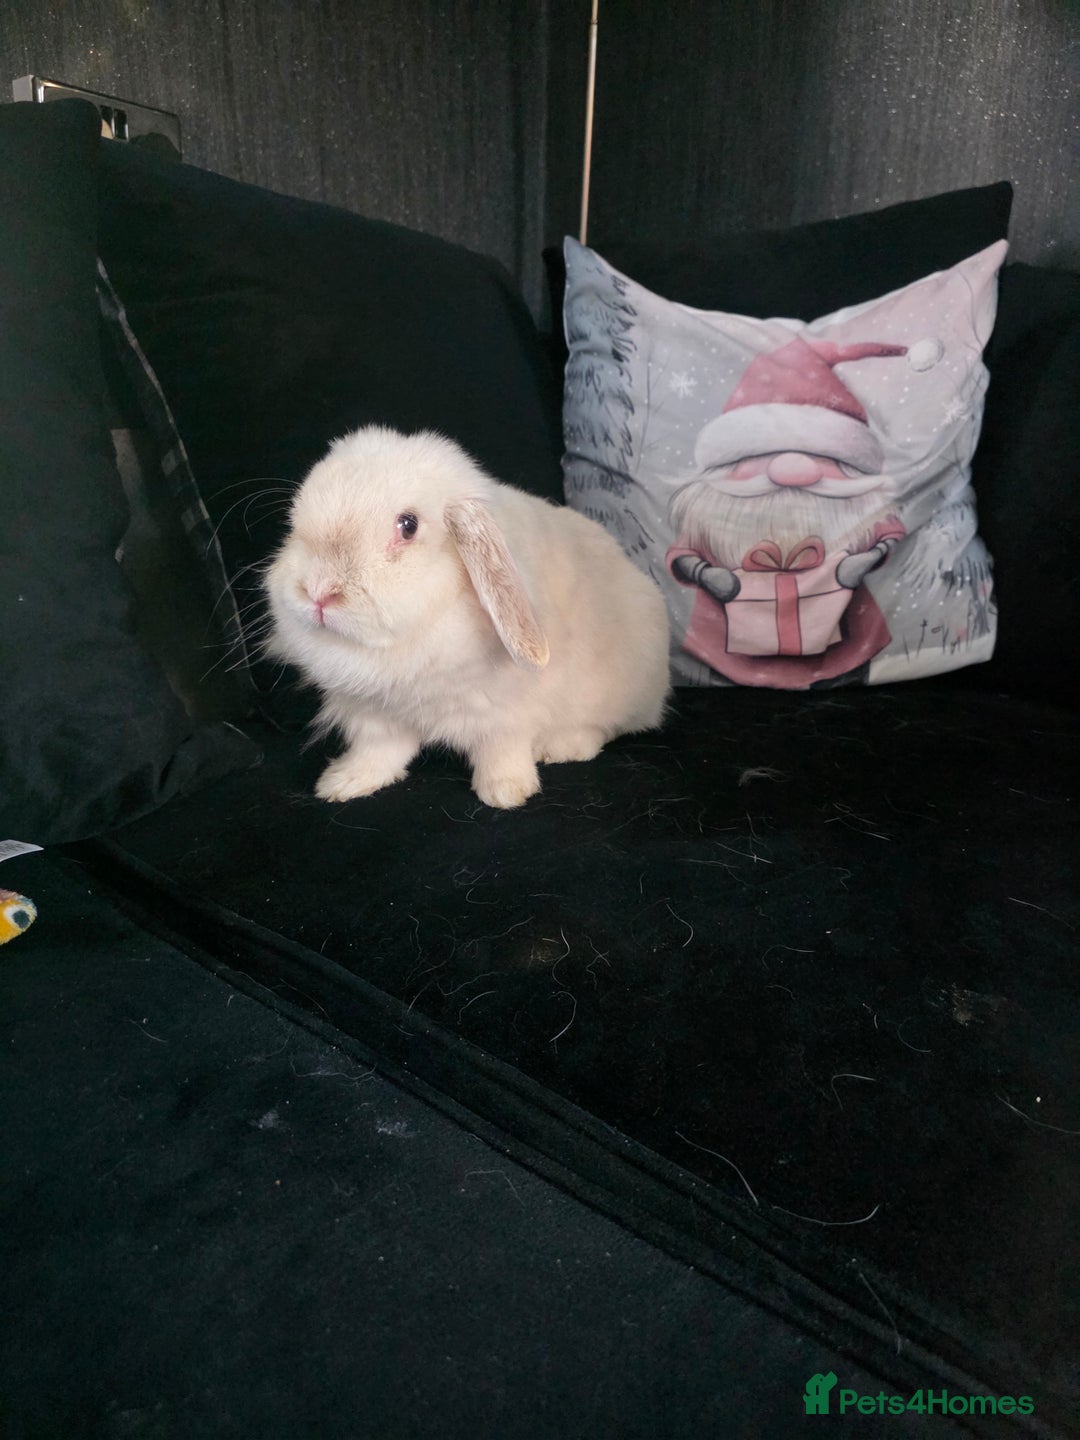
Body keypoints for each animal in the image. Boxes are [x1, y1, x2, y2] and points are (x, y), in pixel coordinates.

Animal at [263, 425, 671, 809]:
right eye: (295, 524)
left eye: (408, 525)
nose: (318, 592)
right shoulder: (375, 715)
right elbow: (378, 752)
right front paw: (345, 783)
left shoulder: (506, 715)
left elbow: (502, 751)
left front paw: (505, 791)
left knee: (604, 728)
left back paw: (562, 746)